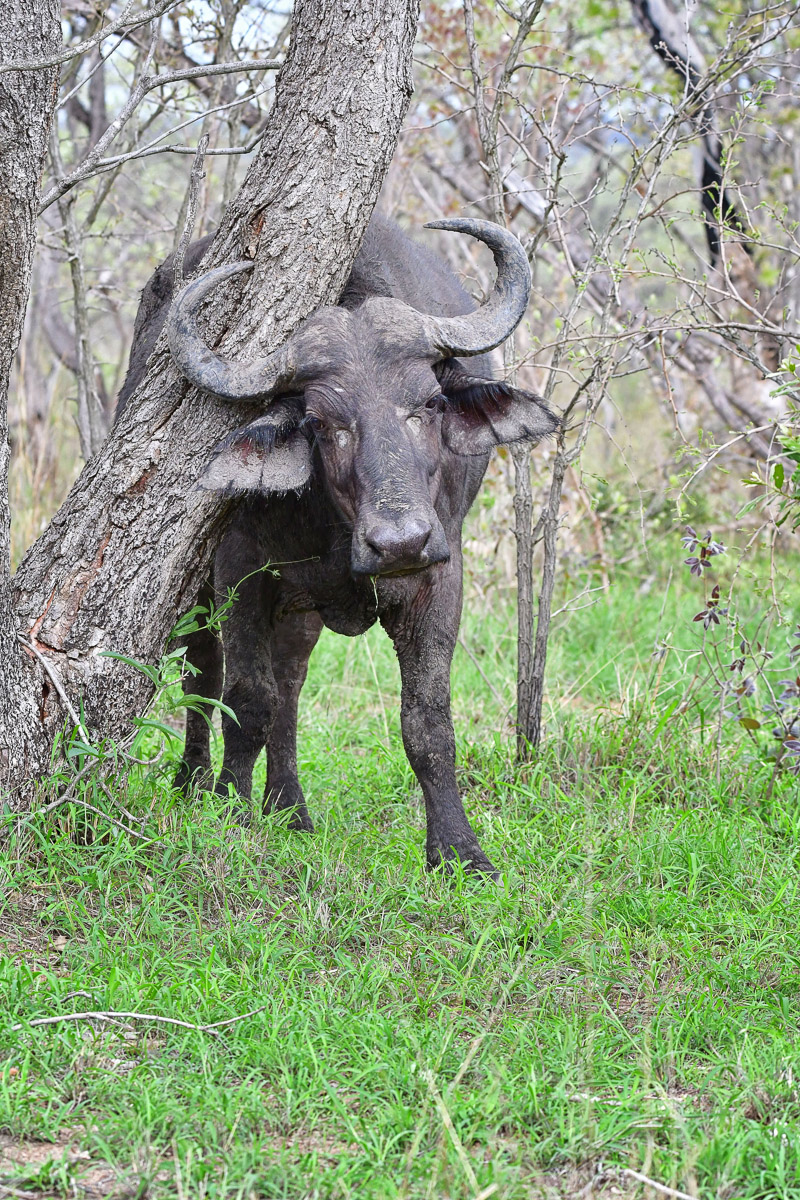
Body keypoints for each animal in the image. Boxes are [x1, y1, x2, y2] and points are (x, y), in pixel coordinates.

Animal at [118, 215, 557, 877]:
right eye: (323, 423)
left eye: (429, 404)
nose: (399, 542)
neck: (336, 530)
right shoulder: (240, 573)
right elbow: (247, 701)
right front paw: (228, 812)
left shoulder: (440, 576)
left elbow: (427, 721)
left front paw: (458, 851)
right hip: (202, 587)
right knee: (206, 672)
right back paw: (194, 782)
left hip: (301, 611)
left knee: (292, 683)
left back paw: (289, 806)